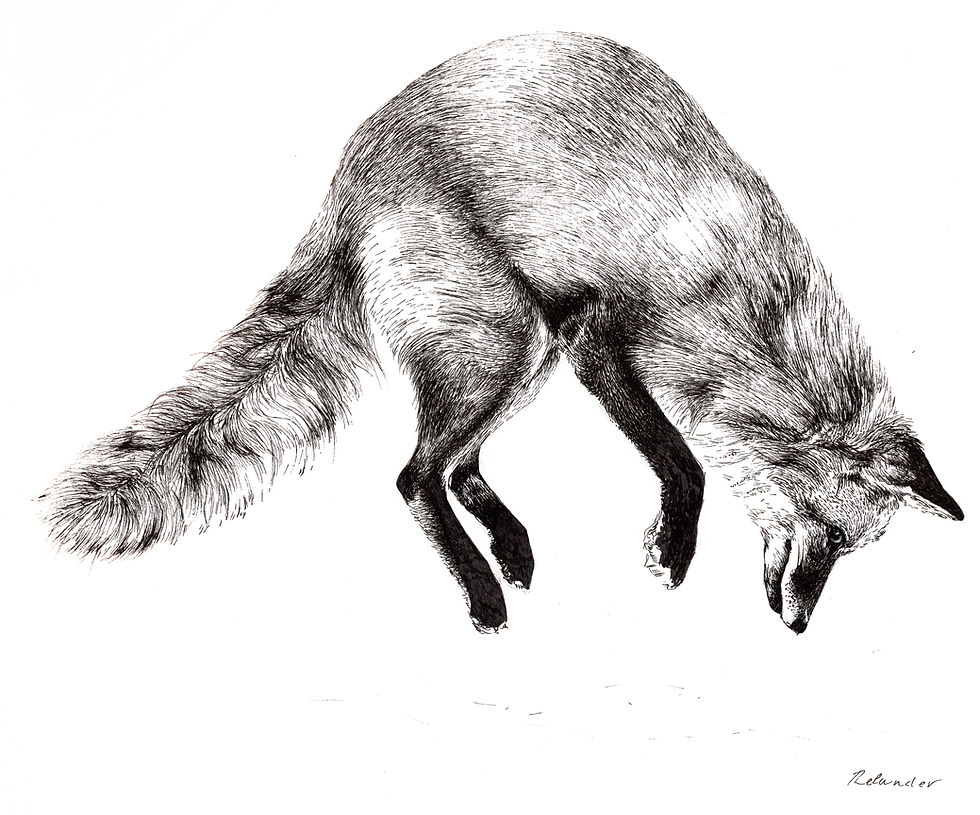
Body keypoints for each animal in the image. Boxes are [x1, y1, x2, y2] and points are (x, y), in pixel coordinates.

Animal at [43, 32, 962, 634]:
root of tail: (349, 176)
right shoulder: (599, 339)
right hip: (505, 345)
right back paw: (482, 592)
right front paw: (672, 548)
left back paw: (510, 548)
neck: (746, 308)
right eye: (831, 538)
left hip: (521, 356)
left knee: (454, 463)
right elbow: (685, 461)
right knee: (416, 475)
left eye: (850, 552)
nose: (800, 628)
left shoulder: (588, 347)